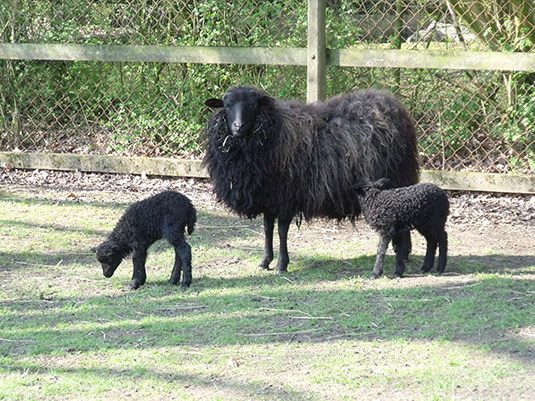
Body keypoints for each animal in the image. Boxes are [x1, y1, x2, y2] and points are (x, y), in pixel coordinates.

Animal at [203, 86, 420, 274]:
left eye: (253, 105)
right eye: (227, 105)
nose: (238, 126)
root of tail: (393, 104)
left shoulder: (286, 197)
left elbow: (281, 231)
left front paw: (281, 265)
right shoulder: (269, 197)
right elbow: (267, 229)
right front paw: (265, 261)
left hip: (400, 177)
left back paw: (404, 252)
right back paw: (404, 253)